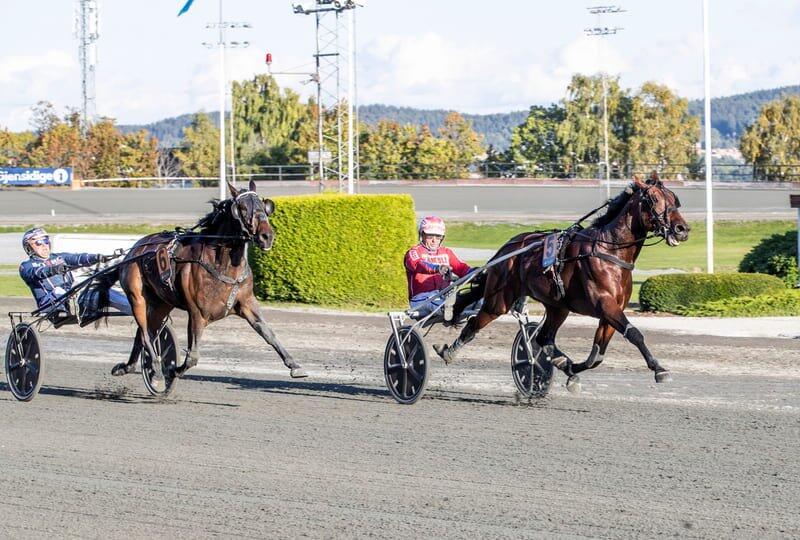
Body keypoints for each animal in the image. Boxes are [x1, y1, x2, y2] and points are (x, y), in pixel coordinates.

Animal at [109, 179, 304, 394]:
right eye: (242, 208)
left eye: (264, 206)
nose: (266, 236)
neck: (223, 265)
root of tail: (134, 249)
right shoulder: (197, 313)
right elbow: (192, 356)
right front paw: (171, 370)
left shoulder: (247, 304)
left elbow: (269, 333)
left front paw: (295, 365)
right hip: (137, 297)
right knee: (144, 333)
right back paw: (156, 369)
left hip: (162, 303)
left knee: (145, 333)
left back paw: (127, 367)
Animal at [434, 175, 692, 390]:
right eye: (654, 199)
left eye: (674, 199)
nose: (682, 229)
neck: (610, 252)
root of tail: (507, 248)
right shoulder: (606, 305)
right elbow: (635, 334)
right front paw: (659, 369)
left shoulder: (609, 313)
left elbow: (596, 356)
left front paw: (570, 369)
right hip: (499, 300)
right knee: (475, 323)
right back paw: (448, 351)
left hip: (558, 306)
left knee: (543, 338)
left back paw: (557, 361)